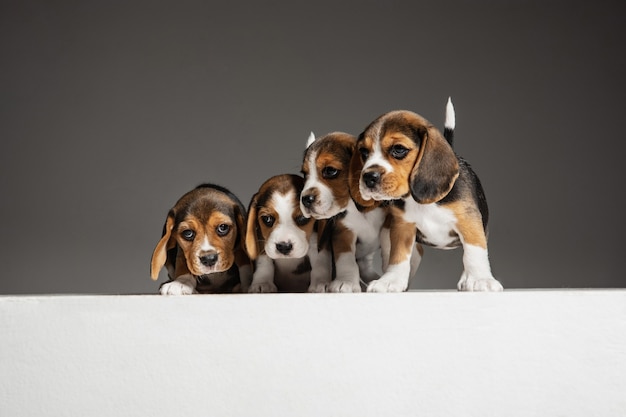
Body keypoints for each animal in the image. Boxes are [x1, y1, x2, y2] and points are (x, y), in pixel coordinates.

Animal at [300, 132, 416, 290]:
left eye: (330, 171)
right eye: (304, 174)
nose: (305, 199)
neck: (356, 208)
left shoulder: (390, 221)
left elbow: (388, 244)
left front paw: (389, 277)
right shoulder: (342, 231)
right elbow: (346, 259)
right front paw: (346, 282)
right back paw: (321, 283)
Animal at [354, 98, 500, 290]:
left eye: (398, 149)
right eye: (363, 152)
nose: (369, 177)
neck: (418, 200)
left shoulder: (469, 221)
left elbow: (474, 251)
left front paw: (480, 279)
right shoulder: (402, 226)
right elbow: (398, 255)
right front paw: (391, 280)